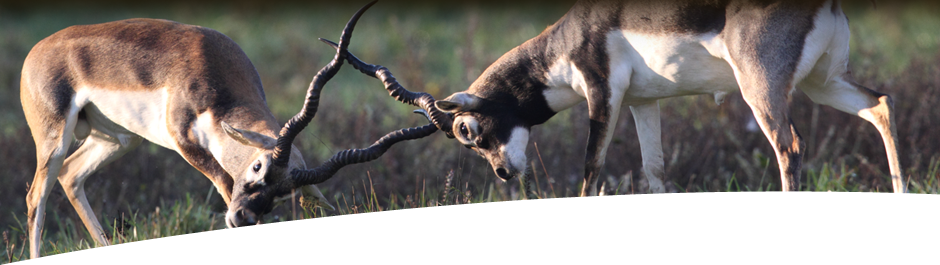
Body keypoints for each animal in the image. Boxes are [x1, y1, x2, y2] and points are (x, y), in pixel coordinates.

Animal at [21, 1, 434, 262]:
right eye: (257, 167)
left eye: (285, 194)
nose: (239, 218)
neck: (214, 71)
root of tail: (37, 50)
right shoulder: (188, 145)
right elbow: (224, 185)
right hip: (54, 140)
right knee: (35, 196)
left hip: (117, 140)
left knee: (72, 176)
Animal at [338, 0, 904, 211]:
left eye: (469, 132)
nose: (503, 173)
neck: (571, 38)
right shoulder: (642, 103)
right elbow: (655, 170)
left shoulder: (601, 90)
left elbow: (592, 166)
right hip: (822, 81)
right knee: (879, 105)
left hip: (761, 89)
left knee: (789, 147)